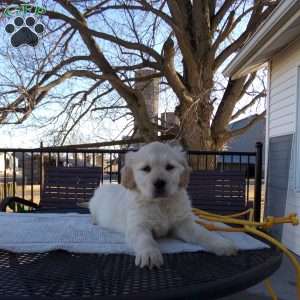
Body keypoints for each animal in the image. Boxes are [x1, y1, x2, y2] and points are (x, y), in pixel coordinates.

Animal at [89, 143, 237, 270]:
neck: (160, 203)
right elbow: (145, 239)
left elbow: (202, 233)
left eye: (169, 167)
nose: (159, 183)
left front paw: (221, 243)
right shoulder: (137, 225)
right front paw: (150, 255)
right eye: (146, 169)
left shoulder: (183, 223)